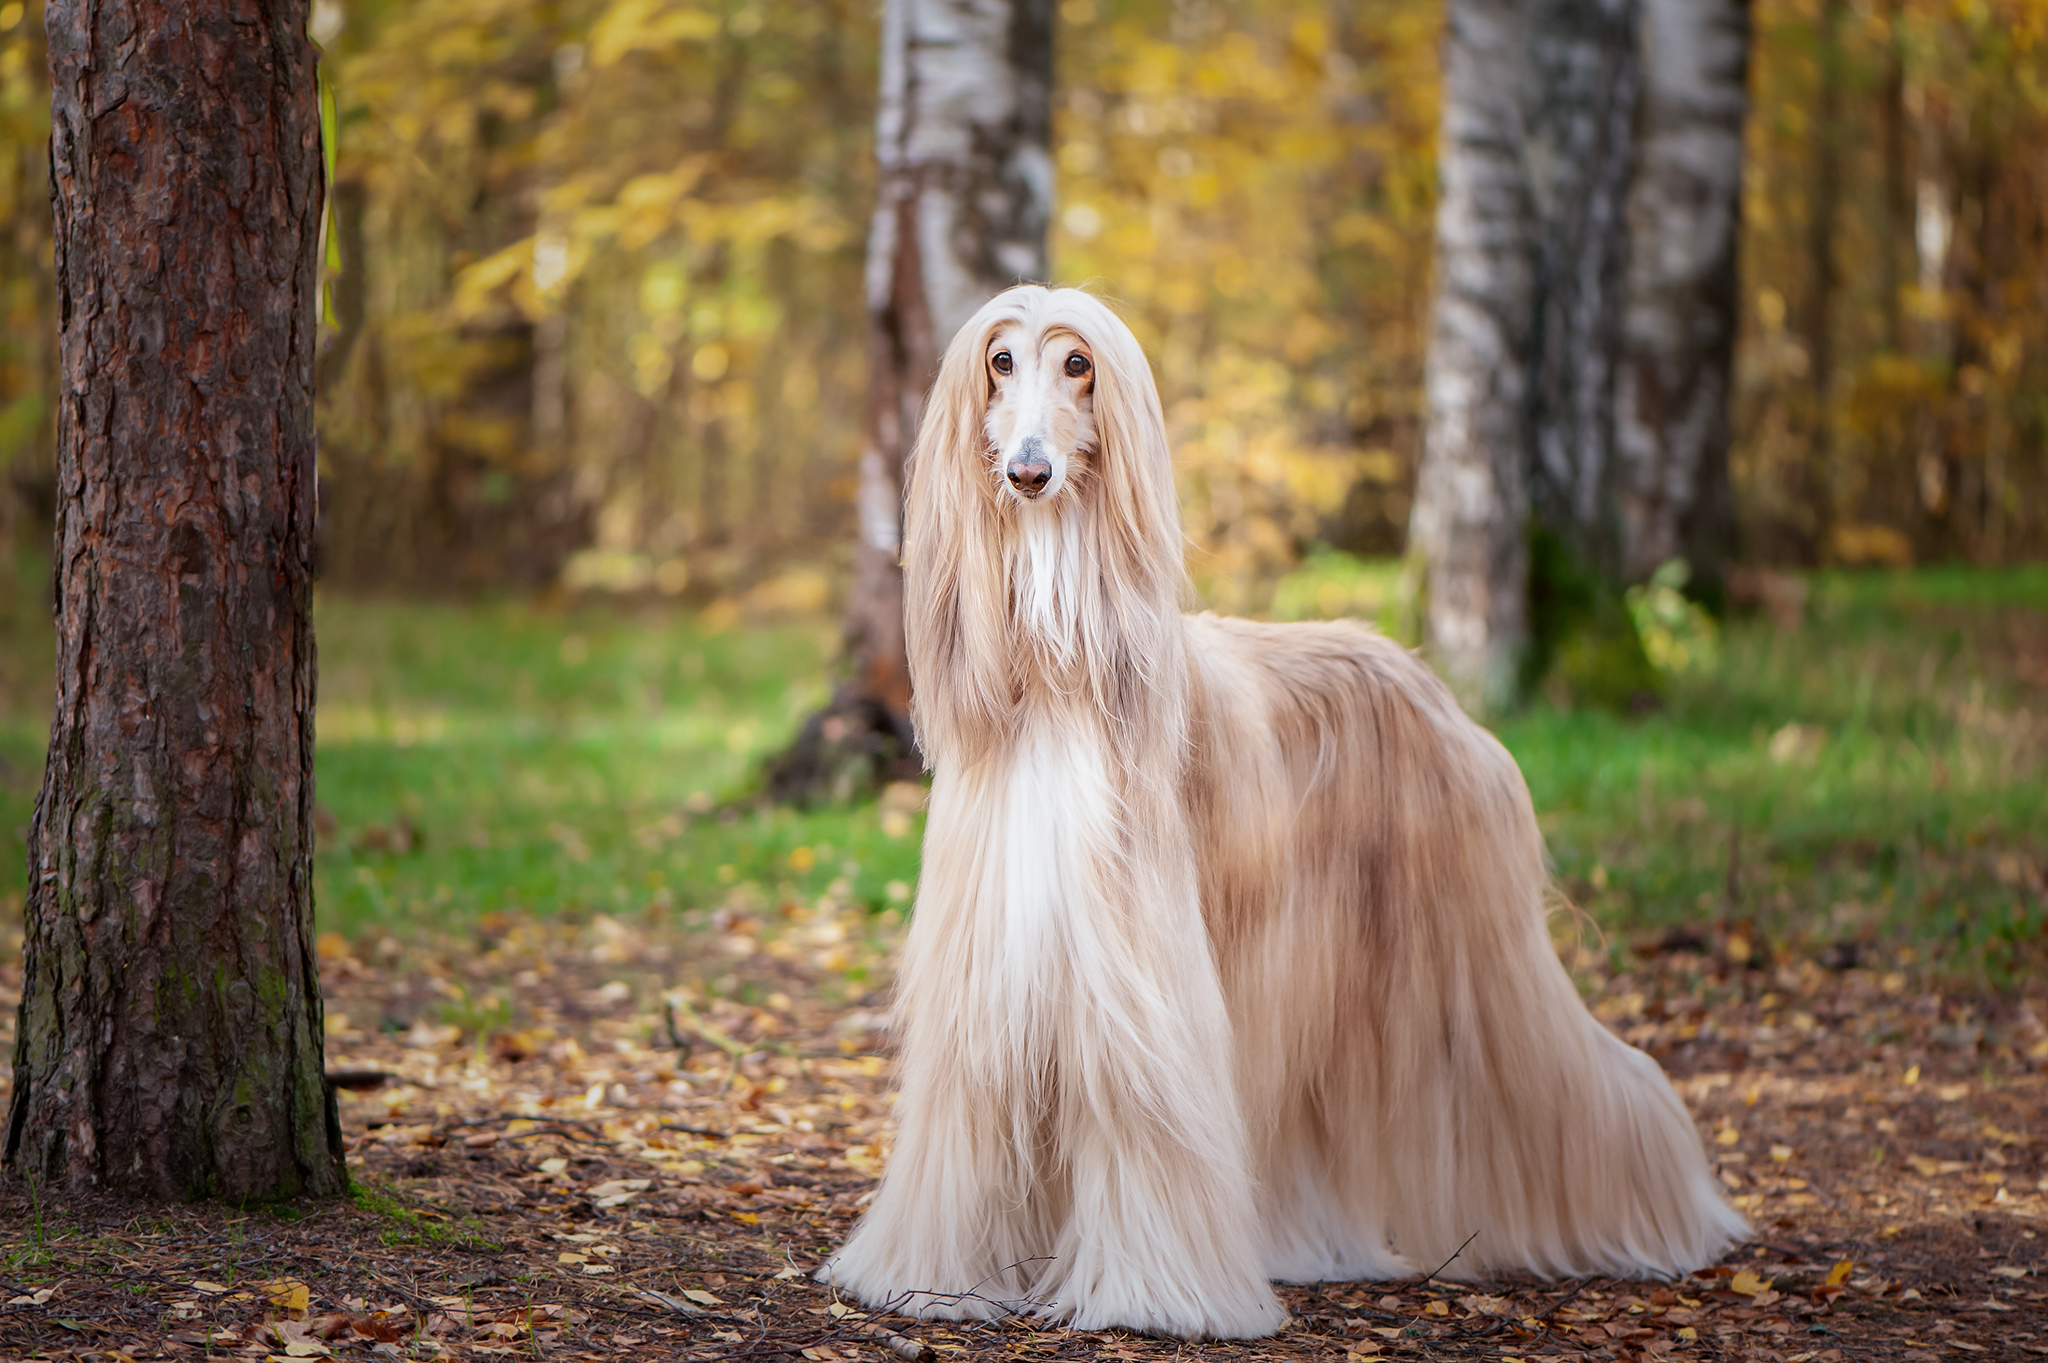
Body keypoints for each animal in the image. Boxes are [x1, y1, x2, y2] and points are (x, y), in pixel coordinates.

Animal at [815, 280, 1744, 1334]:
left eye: (1078, 364)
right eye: (999, 361)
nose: (1028, 472)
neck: (1060, 663)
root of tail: (1420, 674)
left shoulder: (1143, 982)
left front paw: (1157, 1294)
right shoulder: (995, 960)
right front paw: (938, 1279)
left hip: (1472, 950)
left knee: (1576, 1079)